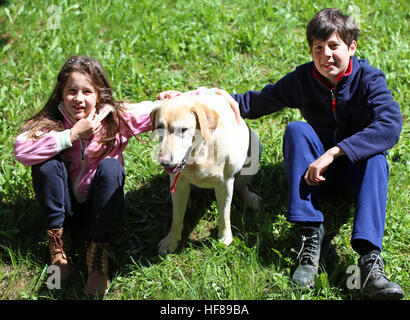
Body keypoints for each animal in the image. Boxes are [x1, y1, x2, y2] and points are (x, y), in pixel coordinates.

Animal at [150, 93, 260, 255]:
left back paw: (250, 198)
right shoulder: (179, 183)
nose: (164, 162)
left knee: (242, 186)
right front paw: (172, 239)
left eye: (183, 129)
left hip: (254, 147)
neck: (198, 154)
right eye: (159, 127)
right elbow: (176, 217)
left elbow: (224, 215)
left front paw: (224, 238)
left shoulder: (225, 184)